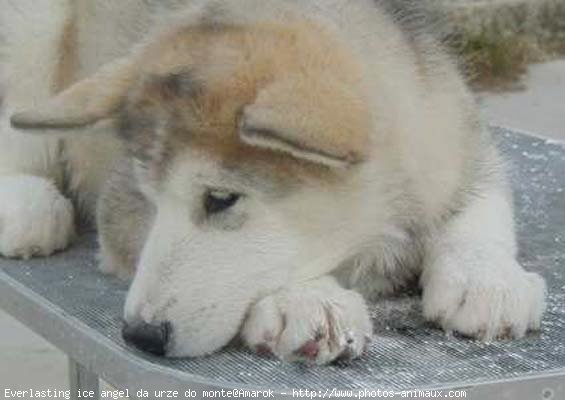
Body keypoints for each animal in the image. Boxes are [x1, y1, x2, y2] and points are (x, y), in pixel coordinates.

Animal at [1, 0, 548, 362]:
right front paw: (305, 299)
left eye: (221, 199)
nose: (141, 336)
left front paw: (487, 278)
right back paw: (27, 207)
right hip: (31, 27)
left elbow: (482, 204)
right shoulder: (117, 208)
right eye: (148, 199)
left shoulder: (454, 127)